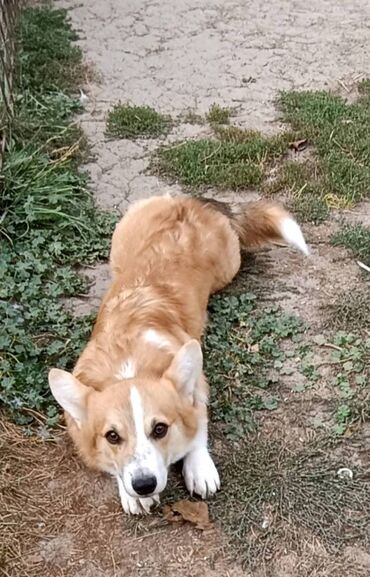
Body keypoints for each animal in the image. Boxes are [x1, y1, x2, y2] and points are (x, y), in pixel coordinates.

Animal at [49, 194, 310, 512]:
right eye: (112, 436)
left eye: (160, 429)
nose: (144, 485)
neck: (129, 364)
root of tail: (189, 201)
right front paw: (129, 493)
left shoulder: (198, 386)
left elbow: (197, 429)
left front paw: (199, 467)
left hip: (227, 266)